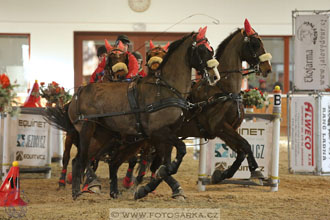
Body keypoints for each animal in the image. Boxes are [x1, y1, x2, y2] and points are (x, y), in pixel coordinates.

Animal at [66, 27, 219, 199]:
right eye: (201, 49)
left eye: (211, 49)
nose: (214, 76)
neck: (166, 89)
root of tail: (79, 92)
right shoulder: (158, 133)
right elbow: (180, 150)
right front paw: (147, 185)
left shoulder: (168, 135)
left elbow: (167, 165)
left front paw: (147, 187)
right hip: (87, 129)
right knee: (81, 159)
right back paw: (81, 189)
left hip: (104, 134)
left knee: (88, 159)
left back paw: (103, 191)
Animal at [133, 18, 272, 199]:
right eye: (255, 43)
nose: (267, 68)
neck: (224, 90)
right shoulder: (220, 127)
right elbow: (246, 145)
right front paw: (256, 172)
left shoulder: (226, 131)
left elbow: (241, 152)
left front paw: (220, 174)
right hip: (157, 136)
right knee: (155, 163)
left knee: (158, 164)